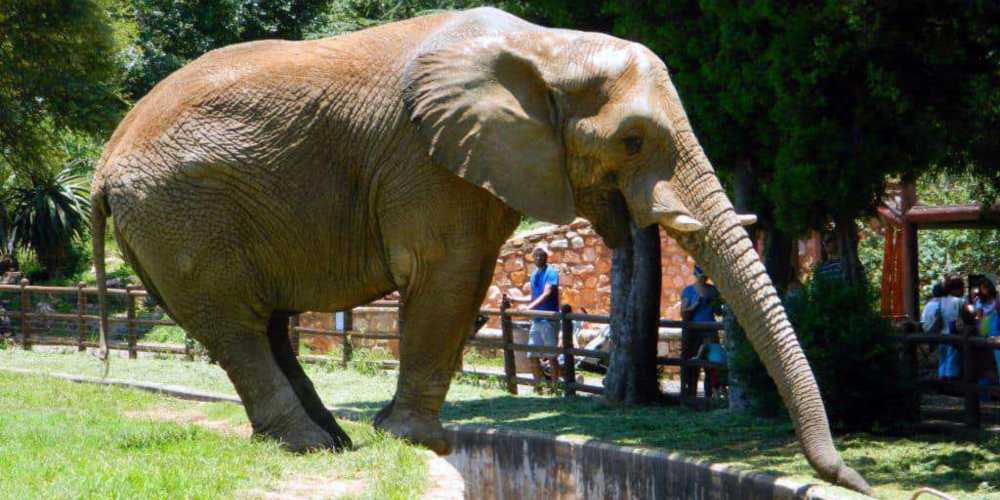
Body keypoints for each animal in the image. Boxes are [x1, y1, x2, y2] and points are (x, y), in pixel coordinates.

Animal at [91, 7, 870, 494]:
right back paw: (313, 448)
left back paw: (332, 442)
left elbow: (460, 285)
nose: (857, 480)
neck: (550, 47)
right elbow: (450, 275)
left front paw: (403, 439)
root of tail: (100, 169)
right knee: (240, 326)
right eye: (632, 140)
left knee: (264, 327)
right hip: (181, 216)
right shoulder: (428, 161)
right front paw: (419, 445)